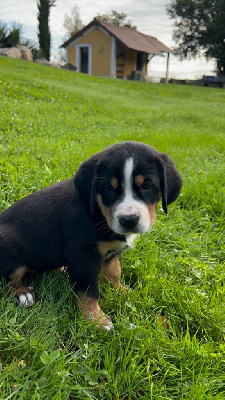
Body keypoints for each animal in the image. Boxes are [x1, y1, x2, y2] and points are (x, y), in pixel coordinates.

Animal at [0, 142, 182, 330]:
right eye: (108, 188)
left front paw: (122, 292)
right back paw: (22, 293)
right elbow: (90, 291)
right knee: (8, 279)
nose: (129, 220)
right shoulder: (84, 256)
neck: (99, 213)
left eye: (147, 186)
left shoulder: (112, 252)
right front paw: (96, 319)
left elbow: (114, 273)